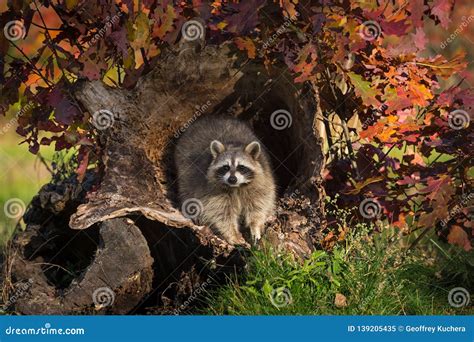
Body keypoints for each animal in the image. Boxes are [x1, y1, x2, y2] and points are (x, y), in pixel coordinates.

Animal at [176, 116, 276, 244]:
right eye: (226, 167)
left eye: (241, 167)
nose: (232, 179)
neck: (236, 187)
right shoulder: (210, 190)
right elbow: (220, 213)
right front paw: (232, 234)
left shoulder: (262, 180)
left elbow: (259, 204)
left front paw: (255, 225)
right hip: (184, 171)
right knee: (186, 190)